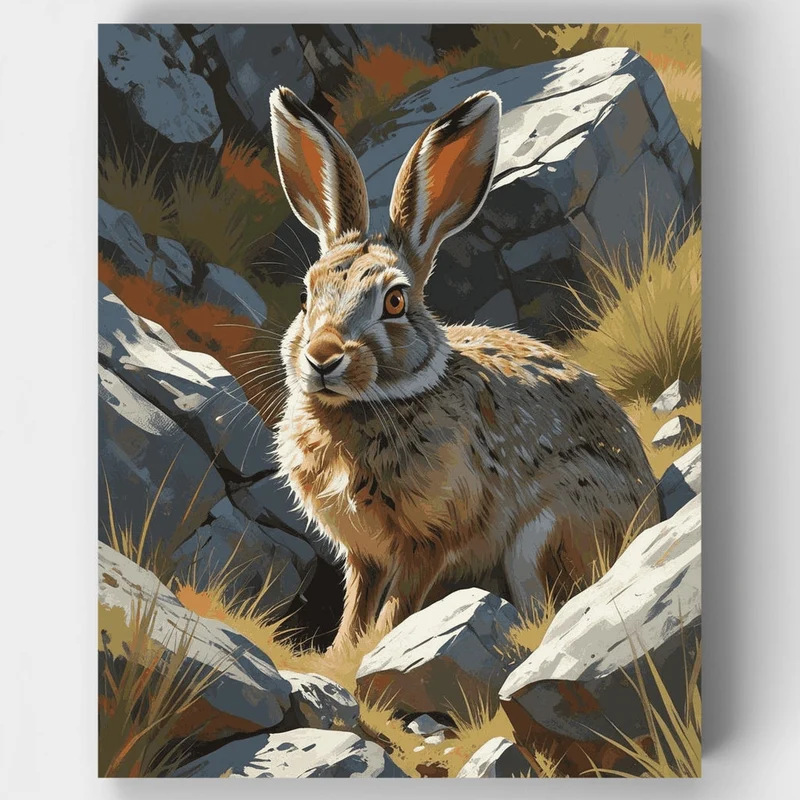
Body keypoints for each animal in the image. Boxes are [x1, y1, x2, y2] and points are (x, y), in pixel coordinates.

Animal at [268, 86, 660, 651]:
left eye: (394, 301)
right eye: (306, 296)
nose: (322, 358)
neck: (369, 406)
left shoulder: (430, 537)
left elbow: (395, 606)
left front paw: (371, 650)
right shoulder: (364, 554)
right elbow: (357, 606)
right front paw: (339, 653)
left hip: (549, 529)